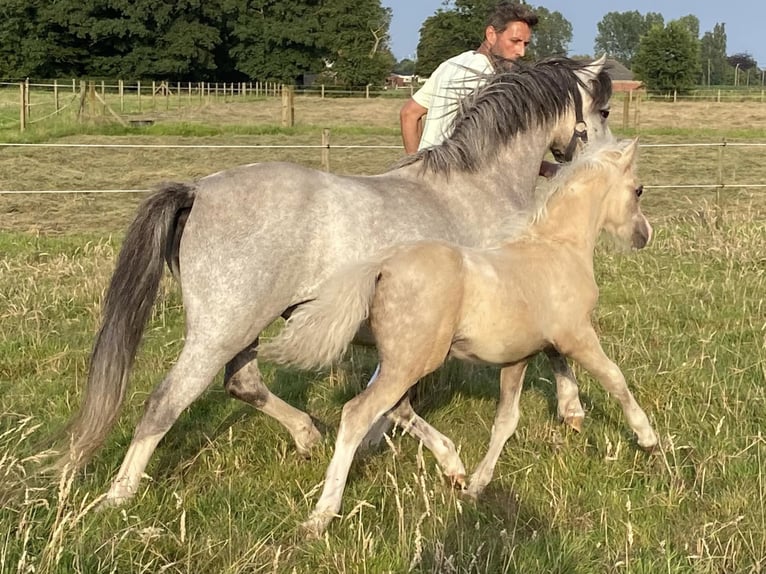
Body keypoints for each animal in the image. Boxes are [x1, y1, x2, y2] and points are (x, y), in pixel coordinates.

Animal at [57, 55, 616, 504]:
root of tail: (199, 191)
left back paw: (309, 435)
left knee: (243, 383)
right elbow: (554, 349)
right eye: (605, 111)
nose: (610, 164)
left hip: (245, 328)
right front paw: (571, 411)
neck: (476, 189)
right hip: (219, 331)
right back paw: (117, 499)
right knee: (164, 404)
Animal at [264, 138, 660, 540]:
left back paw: (453, 467)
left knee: (397, 409)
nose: (644, 236)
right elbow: (614, 378)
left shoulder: (519, 357)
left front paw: (478, 485)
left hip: (403, 362)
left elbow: (507, 420)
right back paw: (321, 516)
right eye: (638, 190)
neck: (556, 247)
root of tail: (383, 266)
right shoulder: (577, 335)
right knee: (358, 413)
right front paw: (648, 439)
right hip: (412, 362)